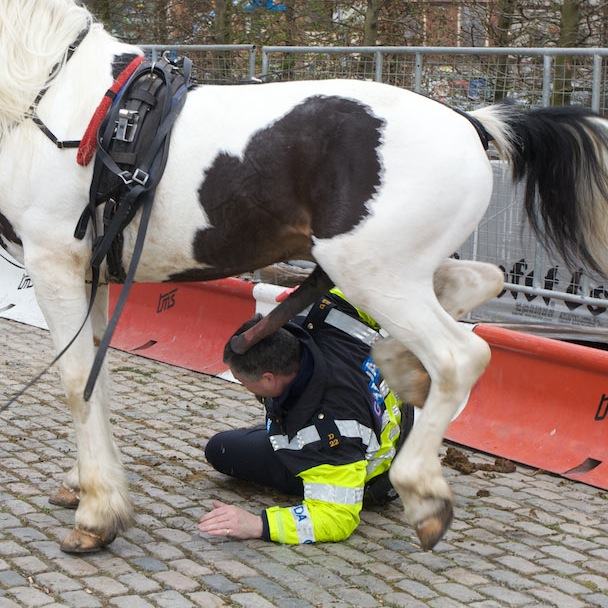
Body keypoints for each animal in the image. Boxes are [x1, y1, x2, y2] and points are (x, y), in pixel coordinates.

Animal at [1, 0, 608, 552]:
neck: (45, 96)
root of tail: (469, 121)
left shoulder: (55, 264)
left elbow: (76, 382)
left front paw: (99, 513)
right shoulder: (93, 275)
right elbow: (97, 376)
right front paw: (84, 486)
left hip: (373, 273)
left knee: (460, 356)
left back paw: (424, 489)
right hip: (388, 270)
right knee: (476, 281)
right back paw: (400, 369)